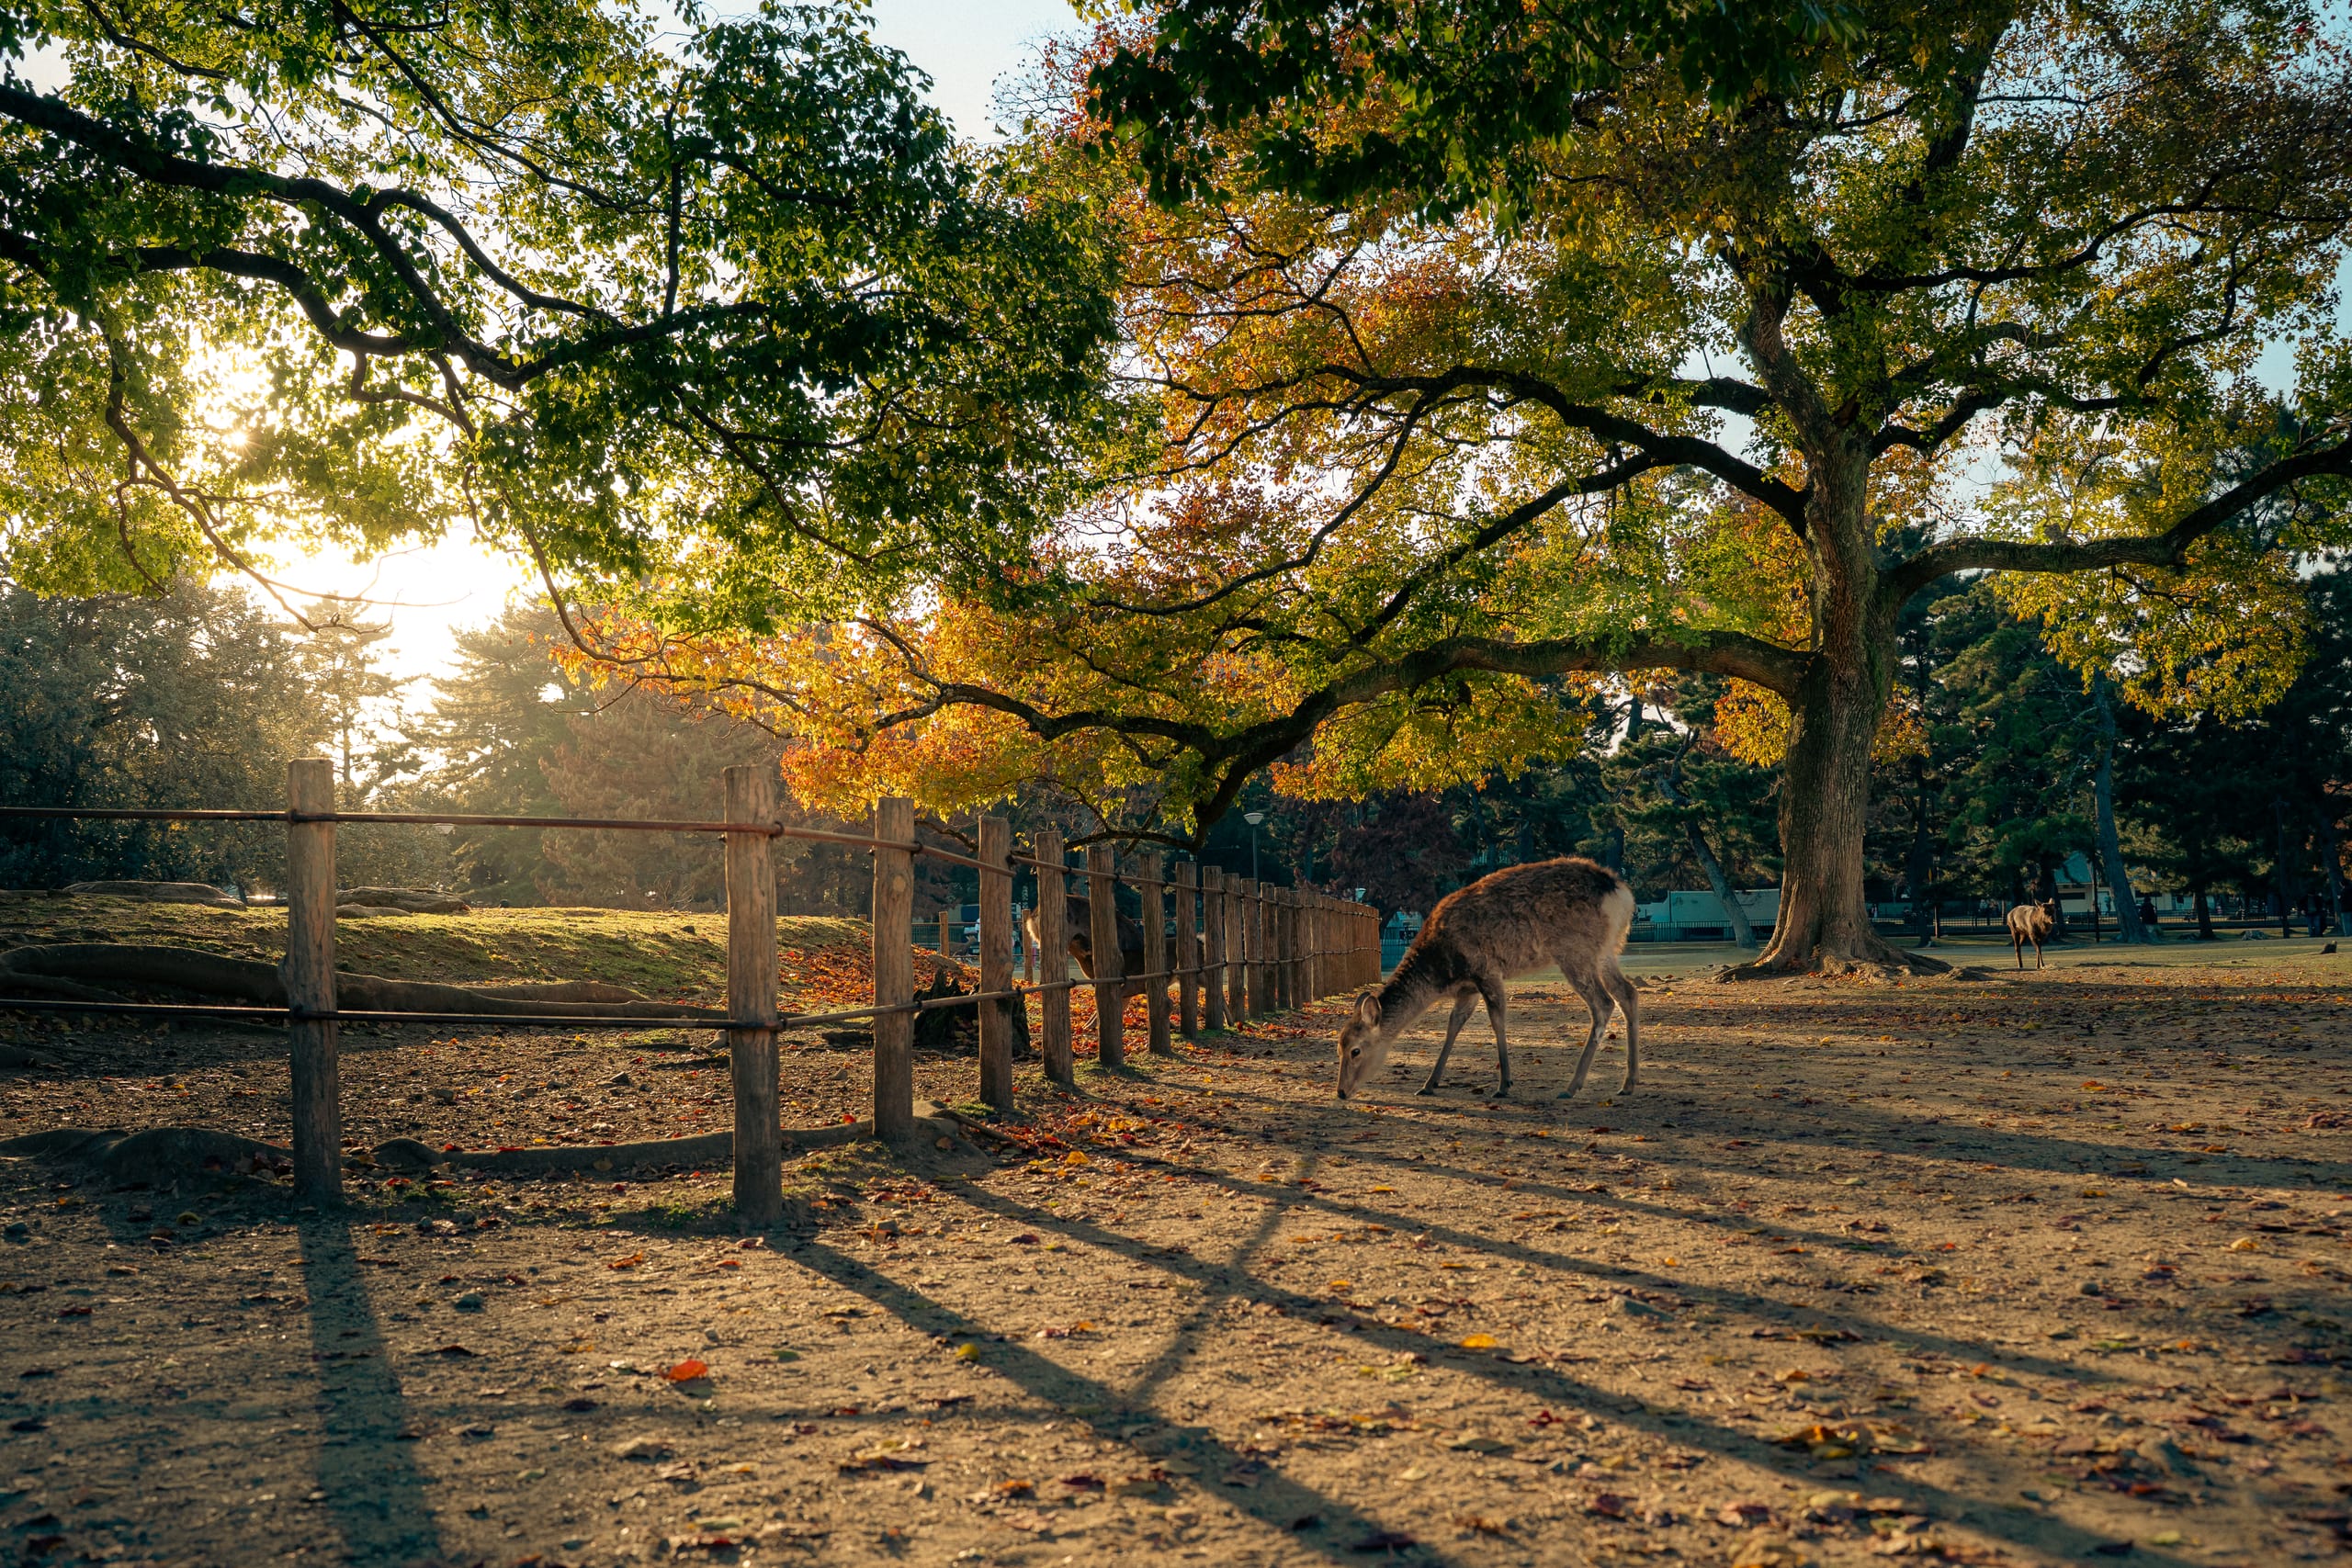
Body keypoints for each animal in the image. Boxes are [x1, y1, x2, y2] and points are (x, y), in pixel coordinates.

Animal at [1336, 856, 1639, 1103]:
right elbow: (1453, 1026)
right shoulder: (1466, 989)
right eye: (1338, 1046)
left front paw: (1504, 1085)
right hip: (1606, 951)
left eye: (1355, 1050)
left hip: (1576, 951)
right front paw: (1428, 1084)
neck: (1440, 972)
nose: (1340, 1092)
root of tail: (1620, 893)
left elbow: (1497, 1021)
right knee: (1628, 992)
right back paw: (1629, 1083)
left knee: (1603, 1003)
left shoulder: (1486, 971)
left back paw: (1571, 1086)